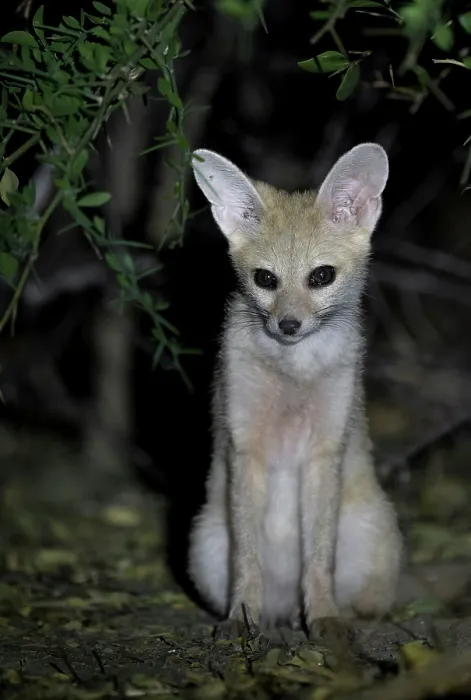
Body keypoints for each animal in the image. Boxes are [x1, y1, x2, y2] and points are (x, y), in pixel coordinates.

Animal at [187, 143, 403, 640]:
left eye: (321, 276)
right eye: (265, 279)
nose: (288, 325)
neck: (294, 375)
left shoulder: (325, 450)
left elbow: (320, 559)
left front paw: (323, 616)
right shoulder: (245, 448)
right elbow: (247, 558)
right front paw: (241, 615)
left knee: (369, 603)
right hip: (205, 545)